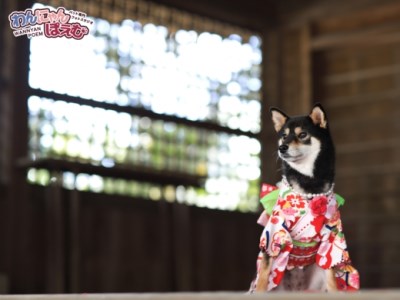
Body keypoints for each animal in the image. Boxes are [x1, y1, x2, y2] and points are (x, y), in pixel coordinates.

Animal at [250, 103, 360, 292]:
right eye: (284, 136)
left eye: (302, 135)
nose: (282, 148)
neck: (309, 184)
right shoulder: (274, 235)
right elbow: (263, 277)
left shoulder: (331, 239)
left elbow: (332, 277)